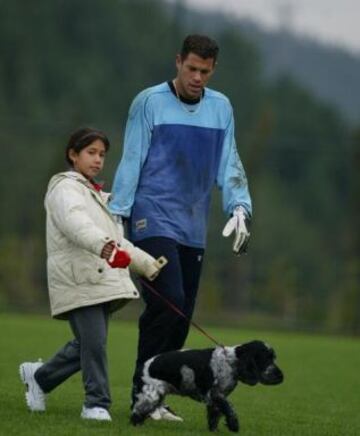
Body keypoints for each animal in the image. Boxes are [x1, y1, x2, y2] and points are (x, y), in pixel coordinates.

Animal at [131, 340, 282, 432]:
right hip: (152, 395)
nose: (281, 377)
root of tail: (142, 366)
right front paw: (234, 425)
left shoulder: (215, 399)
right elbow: (230, 409)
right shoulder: (215, 394)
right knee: (137, 411)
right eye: (266, 359)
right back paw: (136, 426)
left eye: (274, 358)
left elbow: (214, 416)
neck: (231, 362)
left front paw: (214, 430)